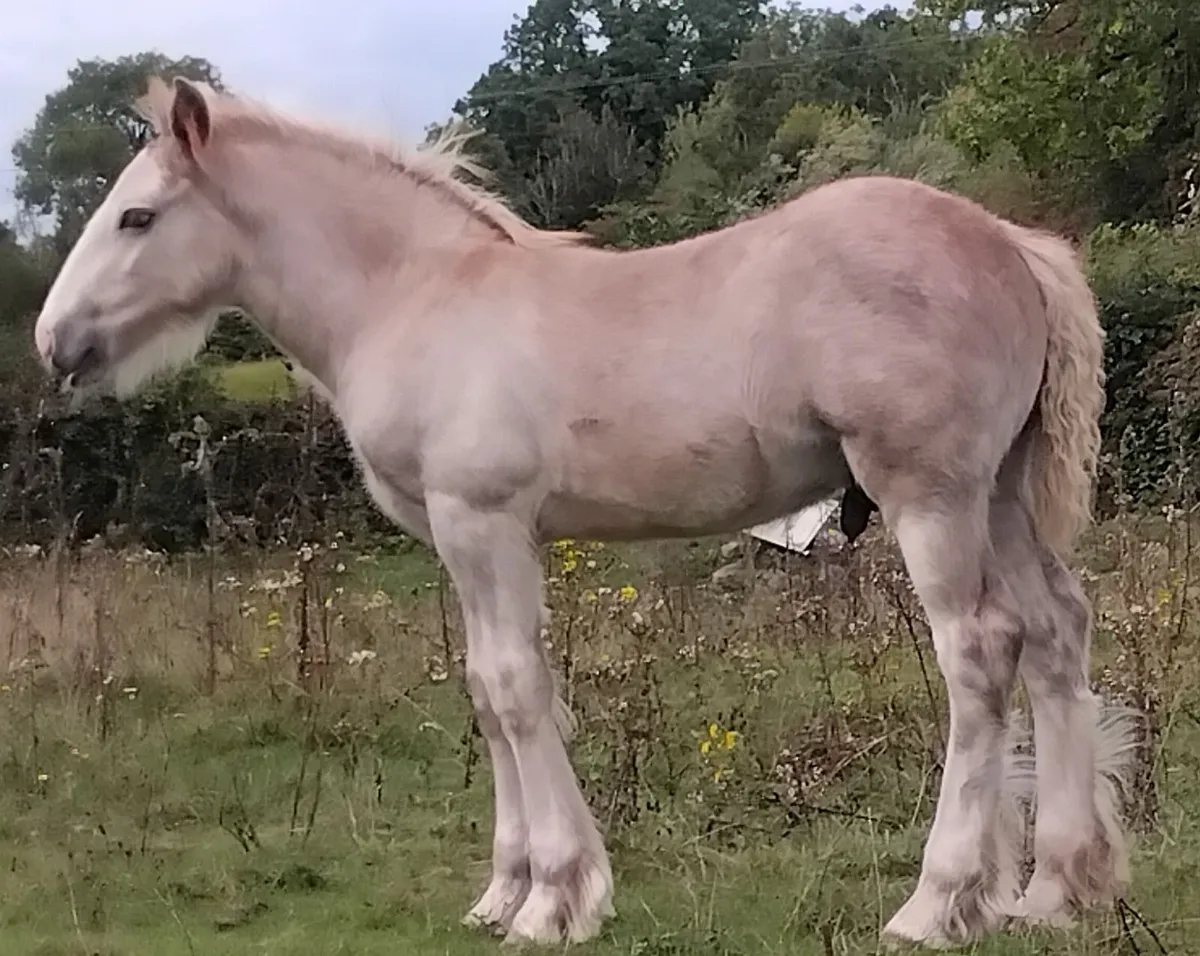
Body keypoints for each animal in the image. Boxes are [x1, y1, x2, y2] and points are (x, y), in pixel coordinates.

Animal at [32, 75, 1139, 948]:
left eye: (137, 218)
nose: (55, 343)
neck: (414, 296)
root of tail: (1013, 242)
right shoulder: (460, 538)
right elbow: (487, 690)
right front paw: (504, 889)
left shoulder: (483, 521)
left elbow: (516, 689)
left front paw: (557, 896)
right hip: (1000, 493)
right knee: (1055, 632)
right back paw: (1058, 886)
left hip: (930, 493)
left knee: (979, 650)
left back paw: (940, 901)